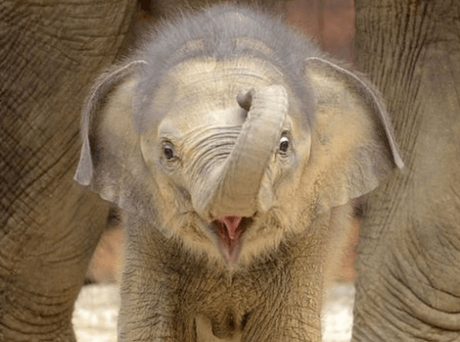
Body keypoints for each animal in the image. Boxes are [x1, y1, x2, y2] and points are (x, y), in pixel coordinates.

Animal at [73, 3, 400, 342]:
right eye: (168, 152)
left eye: (284, 144)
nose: (247, 96)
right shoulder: (148, 231)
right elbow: (151, 326)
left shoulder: (309, 227)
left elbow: (286, 329)